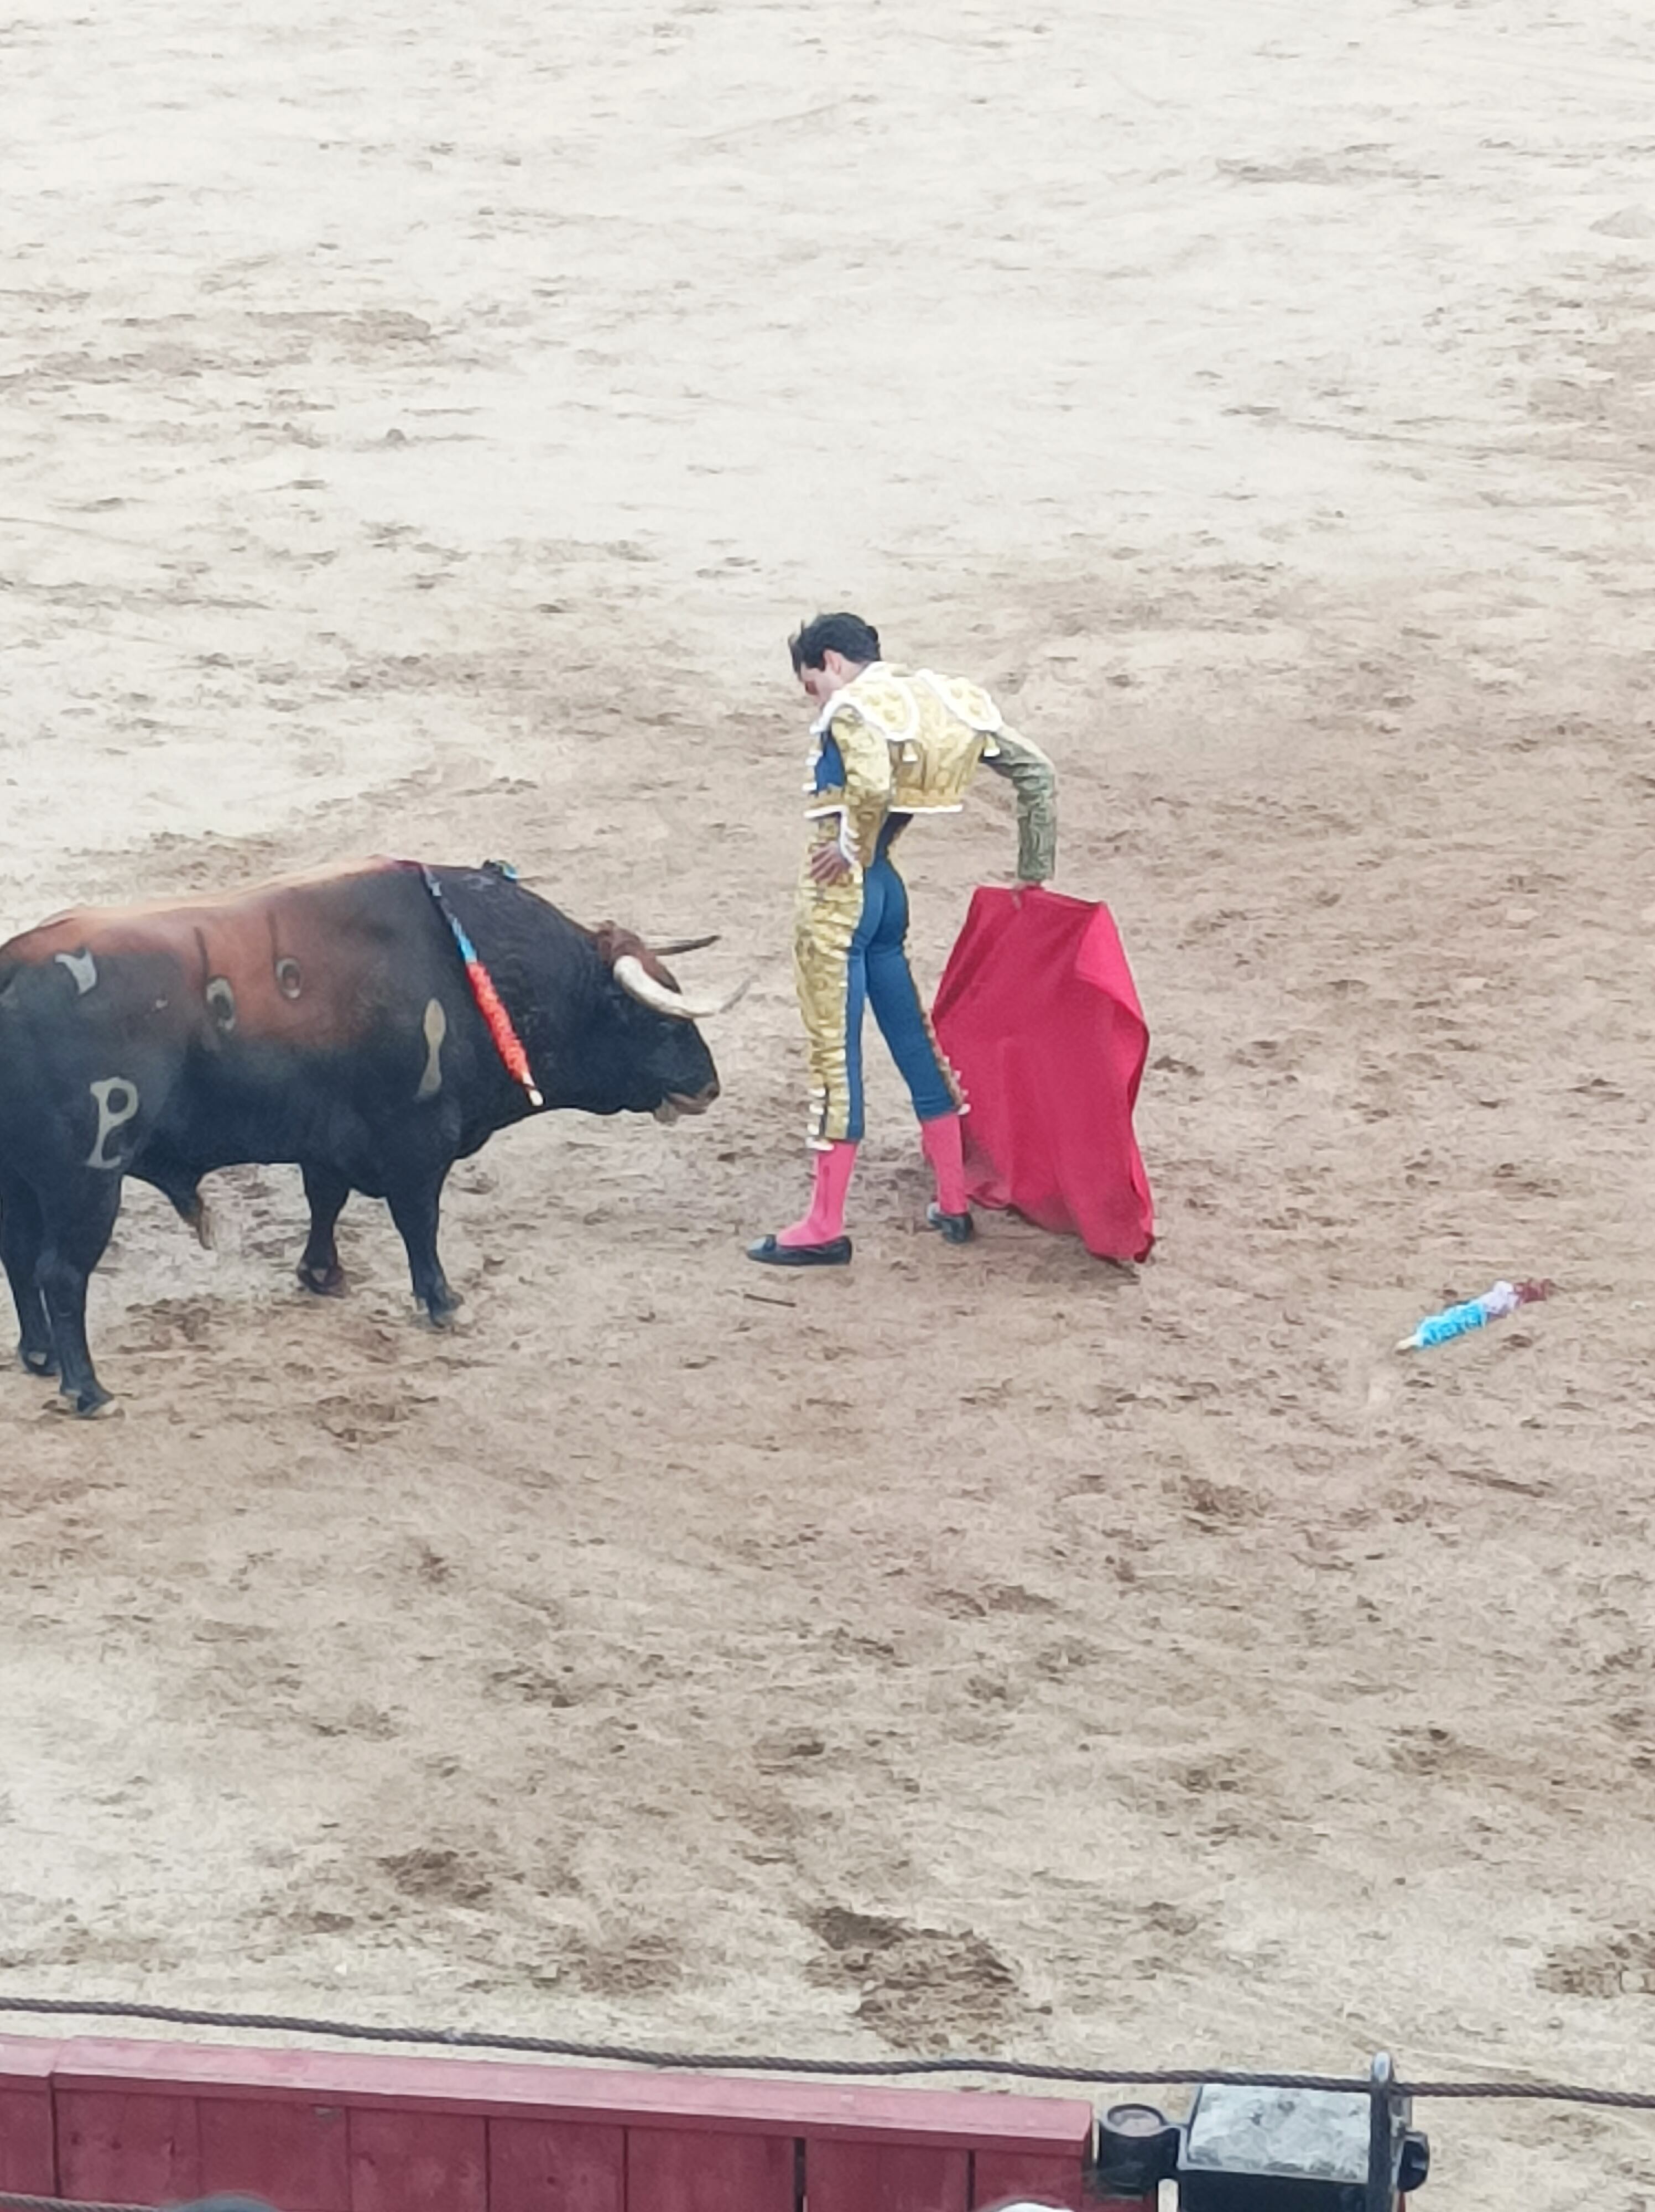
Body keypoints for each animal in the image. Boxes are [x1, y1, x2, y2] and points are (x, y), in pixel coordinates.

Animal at [0, 854, 730, 1407]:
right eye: (655, 1018)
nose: (709, 1086)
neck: (477, 968)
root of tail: (15, 965)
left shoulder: (327, 1140)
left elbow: (326, 1200)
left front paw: (322, 1275)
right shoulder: (418, 1143)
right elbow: (419, 1221)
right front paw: (443, 1301)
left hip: (23, 1181)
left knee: (19, 1253)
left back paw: (38, 1355)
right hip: (86, 1184)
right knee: (61, 1272)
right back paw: (88, 1390)